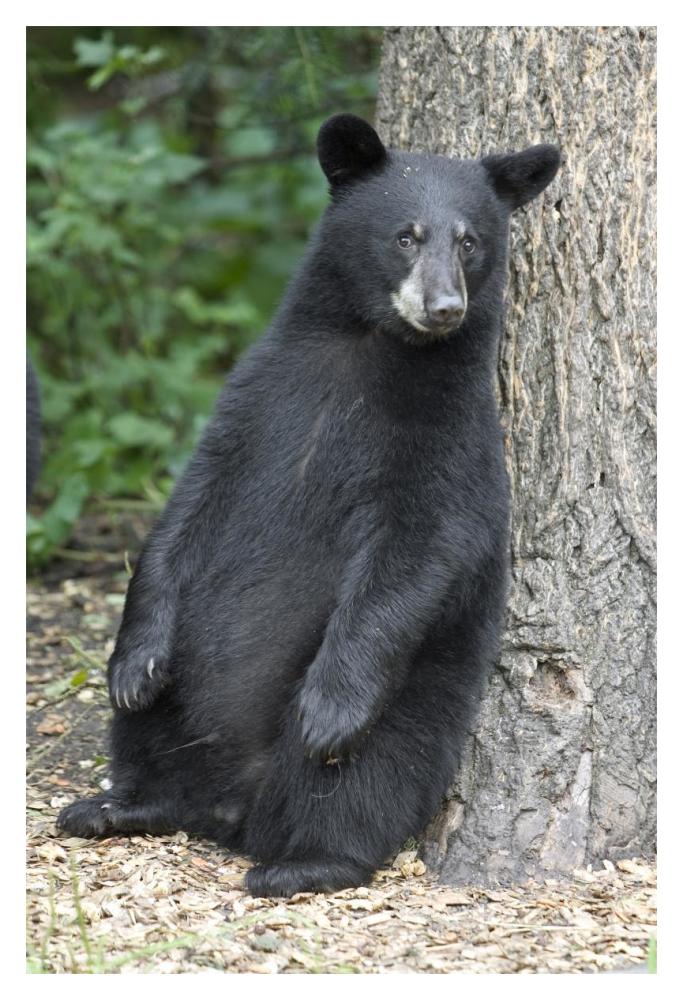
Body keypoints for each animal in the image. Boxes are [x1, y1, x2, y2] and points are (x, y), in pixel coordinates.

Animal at [58, 114, 560, 897]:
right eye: (406, 235)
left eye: (470, 241)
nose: (444, 308)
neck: (370, 349)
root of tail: (231, 808)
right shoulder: (256, 399)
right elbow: (186, 510)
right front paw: (133, 662)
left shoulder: (449, 440)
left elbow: (416, 551)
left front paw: (329, 709)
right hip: (184, 696)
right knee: (150, 733)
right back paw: (116, 804)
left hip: (411, 701)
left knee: (363, 779)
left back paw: (306, 860)